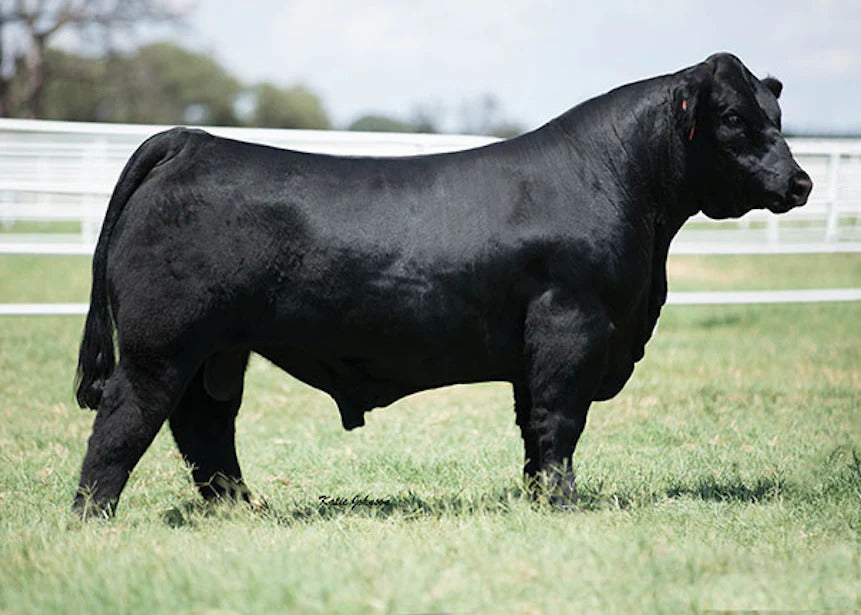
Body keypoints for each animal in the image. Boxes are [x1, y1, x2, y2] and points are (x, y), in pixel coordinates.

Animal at [73, 53, 812, 516]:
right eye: (732, 119)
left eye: (777, 119)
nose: (799, 182)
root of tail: (194, 140)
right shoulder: (572, 323)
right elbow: (560, 418)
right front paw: (564, 504)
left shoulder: (538, 346)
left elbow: (532, 427)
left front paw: (536, 498)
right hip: (162, 345)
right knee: (126, 421)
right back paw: (93, 516)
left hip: (219, 349)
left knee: (204, 424)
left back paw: (243, 508)